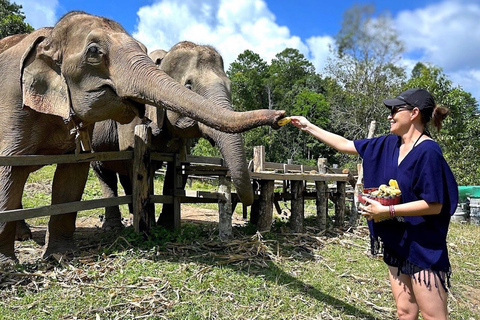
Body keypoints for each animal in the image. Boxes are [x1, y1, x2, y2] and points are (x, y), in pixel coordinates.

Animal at [90, 41, 255, 231]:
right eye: (189, 86)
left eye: (230, 87)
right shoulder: (131, 120)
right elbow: (136, 164)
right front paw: (149, 226)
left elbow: (180, 167)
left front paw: (166, 225)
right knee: (105, 174)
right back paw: (114, 226)